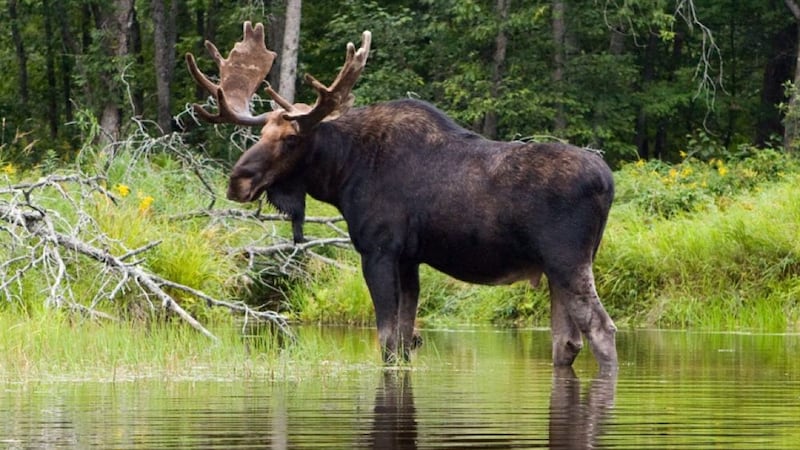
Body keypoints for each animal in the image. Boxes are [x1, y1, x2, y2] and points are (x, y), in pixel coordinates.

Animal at [186, 22, 618, 374]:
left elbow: (388, 342)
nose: (237, 181)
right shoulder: (410, 259)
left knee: (602, 331)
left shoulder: (379, 249)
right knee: (566, 342)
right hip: (558, 269)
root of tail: (609, 182)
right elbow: (406, 341)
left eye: (291, 139)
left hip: (567, 260)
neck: (342, 174)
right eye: (260, 134)